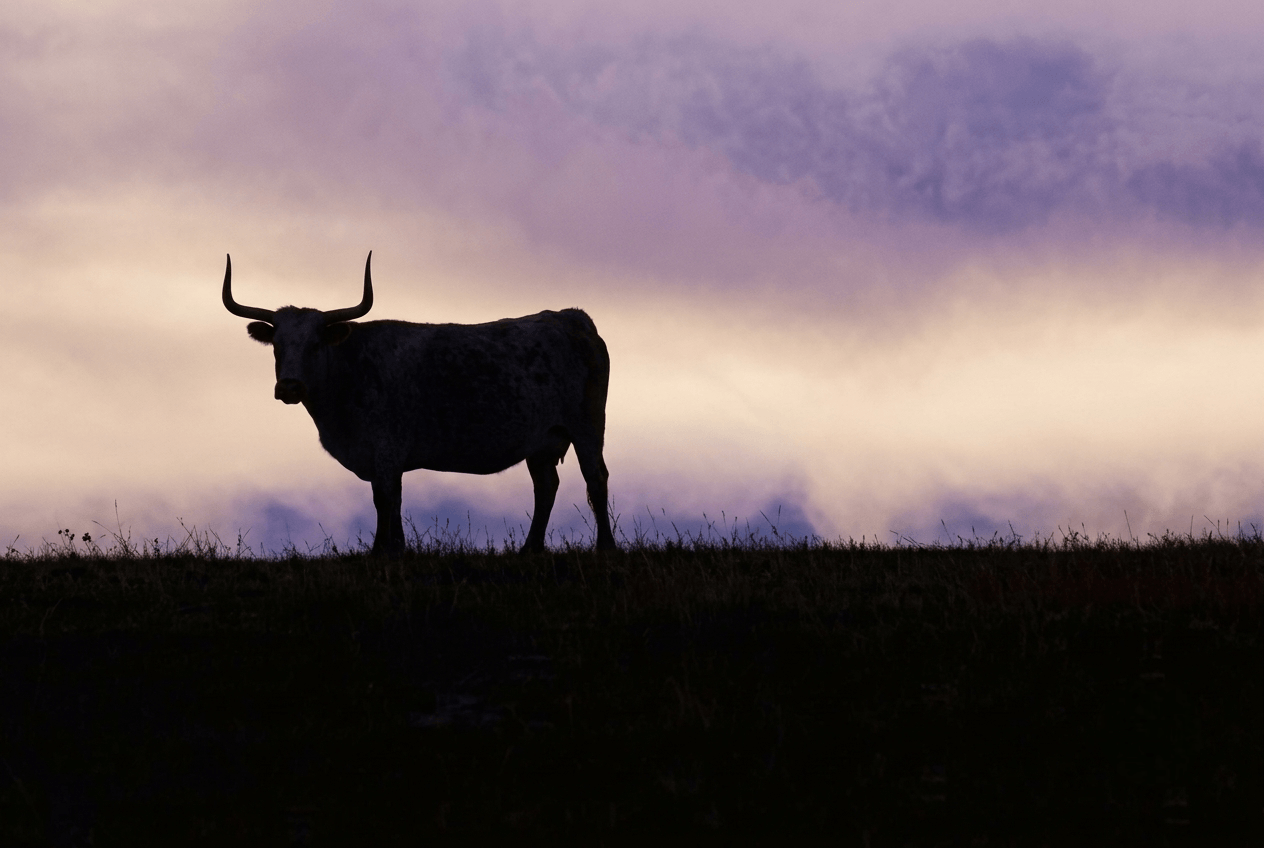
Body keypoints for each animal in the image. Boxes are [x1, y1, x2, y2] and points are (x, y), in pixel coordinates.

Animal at [222, 252, 616, 555]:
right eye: (278, 345)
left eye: (316, 344)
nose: (289, 386)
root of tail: (571, 317)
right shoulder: (384, 456)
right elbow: (392, 501)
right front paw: (397, 549)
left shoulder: (387, 447)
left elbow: (385, 499)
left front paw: (381, 552)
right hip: (542, 440)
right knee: (546, 486)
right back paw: (529, 550)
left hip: (587, 424)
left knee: (595, 478)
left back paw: (606, 548)